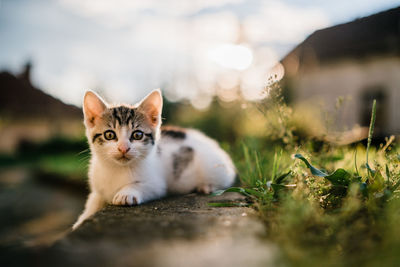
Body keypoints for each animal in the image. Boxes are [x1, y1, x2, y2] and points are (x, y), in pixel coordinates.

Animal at [72, 90, 236, 230]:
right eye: (109, 135)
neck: (116, 168)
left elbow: (146, 186)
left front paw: (126, 193)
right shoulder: (98, 189)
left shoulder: (158, 184)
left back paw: (206, 186)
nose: (124, 148)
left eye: (137, 135)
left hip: (216, 168)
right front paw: (81, 220)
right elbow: (93, 201)